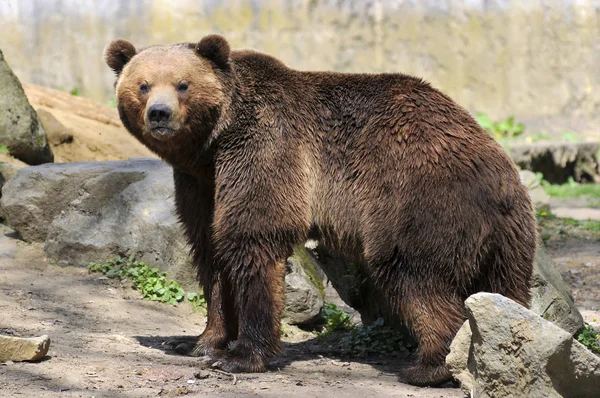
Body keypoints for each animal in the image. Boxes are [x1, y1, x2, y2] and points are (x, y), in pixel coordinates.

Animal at [104, 36, 540, 386]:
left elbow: (252, 238)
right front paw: (198, 342)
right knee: (504, 293)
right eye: (143, 85)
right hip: (510, 240)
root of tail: (500, 174)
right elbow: (210, 249)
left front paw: (241, 356)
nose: (159, 113)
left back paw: (427, 367)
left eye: (183, 84)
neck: (213, 143)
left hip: (417, 200)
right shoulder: (200, 183)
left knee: (415, 275)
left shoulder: (266, 148)